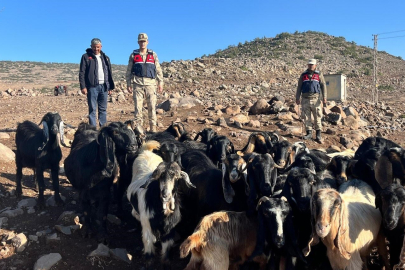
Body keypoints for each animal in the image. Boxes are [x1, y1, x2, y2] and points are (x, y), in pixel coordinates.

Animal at [127, 141, 195, 270]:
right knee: (134, 213)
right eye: (159, 177)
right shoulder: (147, 225)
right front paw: (148, 263)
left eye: (176, 177)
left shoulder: (170, 228)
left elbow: (166, 250)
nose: (165, 194)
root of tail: (146, 151)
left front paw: (165, 264)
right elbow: (149, 248)